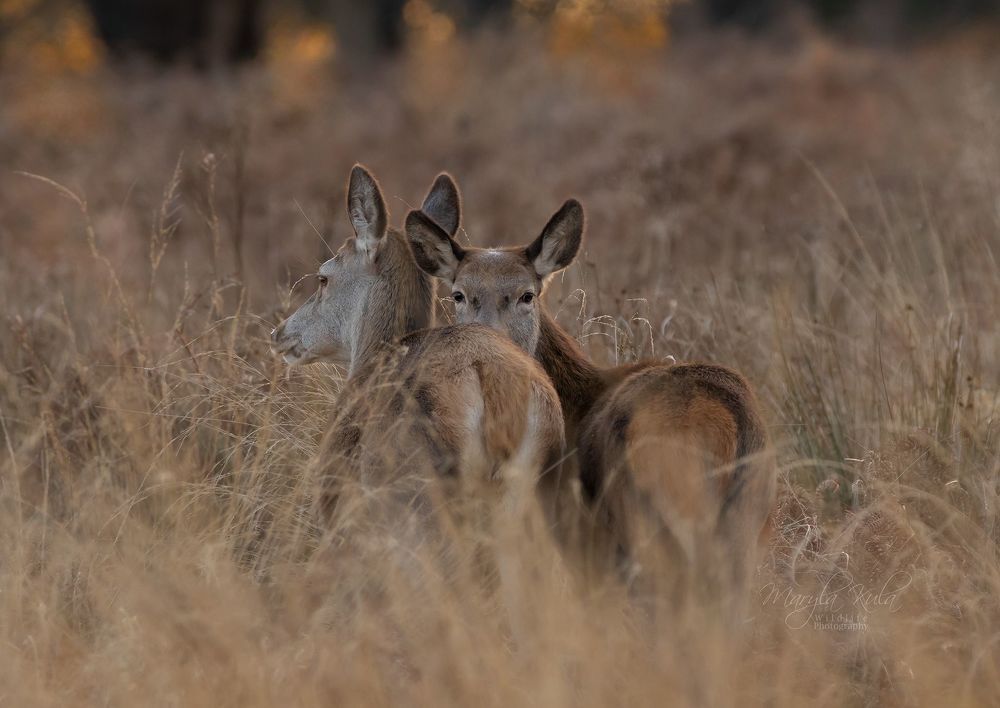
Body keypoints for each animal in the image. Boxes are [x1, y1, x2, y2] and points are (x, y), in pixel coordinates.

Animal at [405, 193, 776, 604]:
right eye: (458, 294)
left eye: (526, 294)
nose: (490, 339)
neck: (577, 404)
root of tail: (729, 418)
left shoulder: (579, 536)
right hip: (748, 520)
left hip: (653, 514)